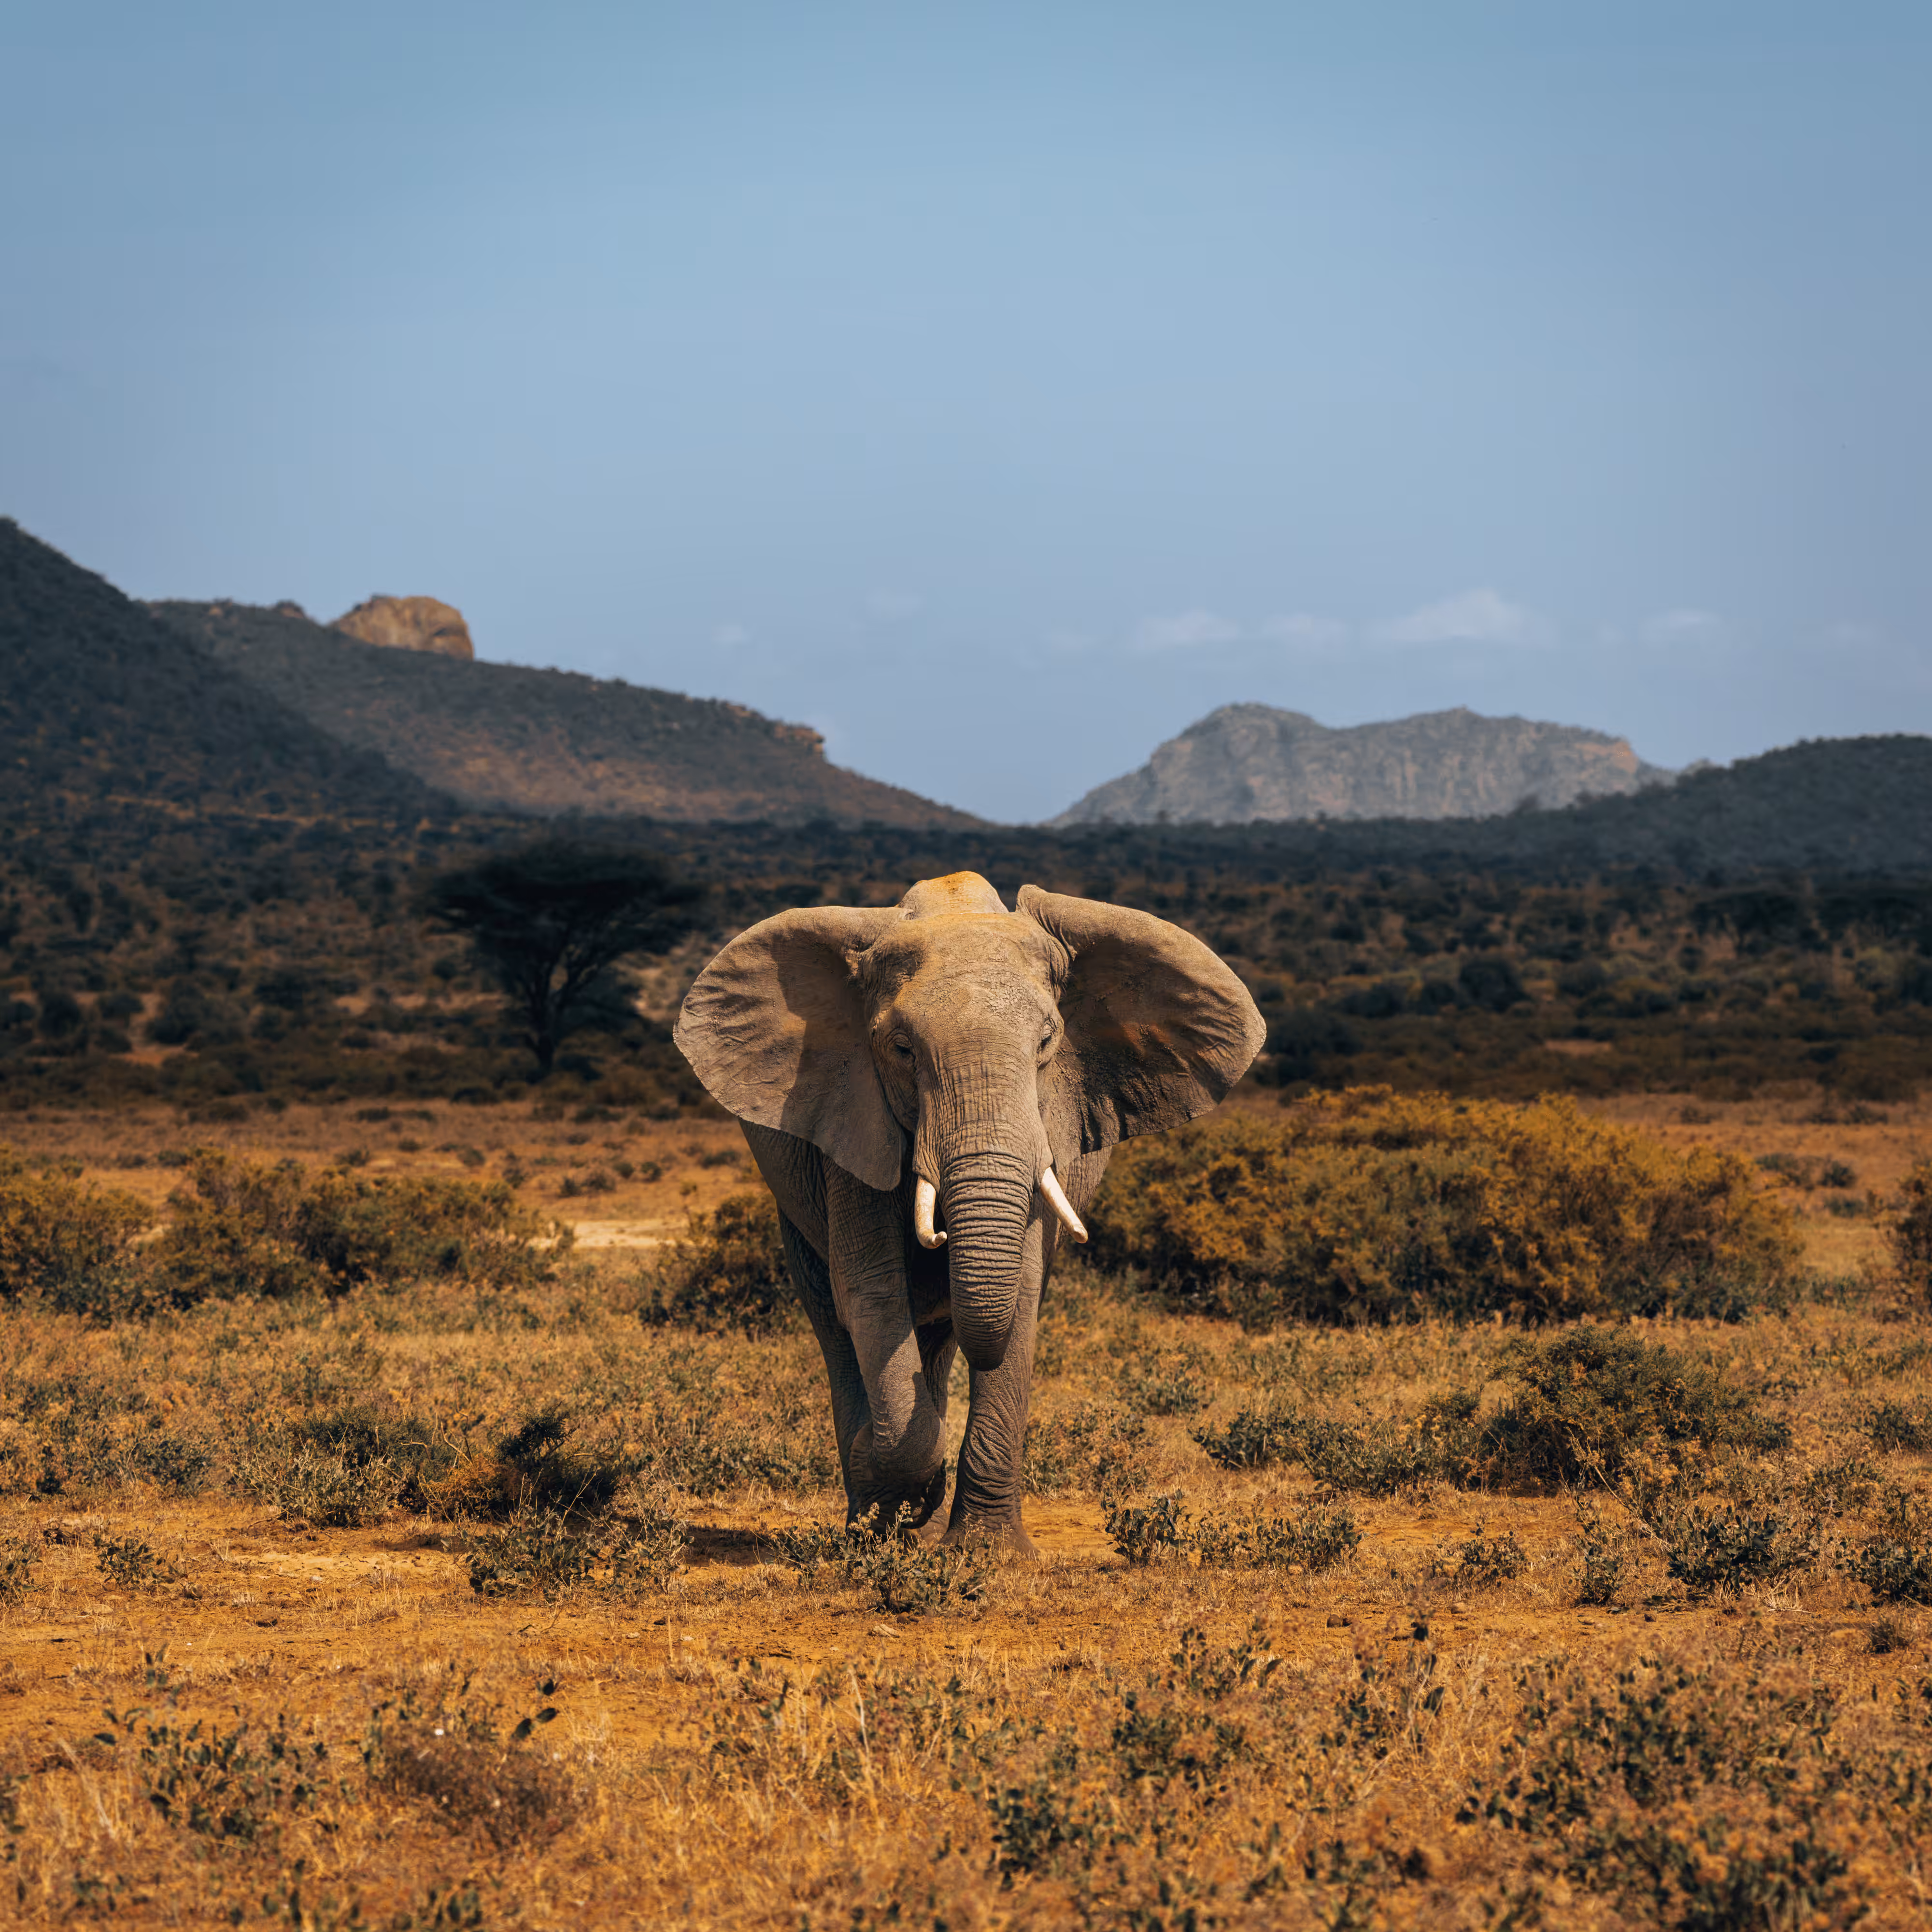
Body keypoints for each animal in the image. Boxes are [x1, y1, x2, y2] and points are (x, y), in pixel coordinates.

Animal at [672, 871, 1265, 1552]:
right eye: (901, 1049)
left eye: (1046, 1043)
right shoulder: (853, 1115)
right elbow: (871, 1293)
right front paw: (890, 1491)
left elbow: (1022, 1293)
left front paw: (987, 1552)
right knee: (835, 1321)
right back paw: (875, 1518)